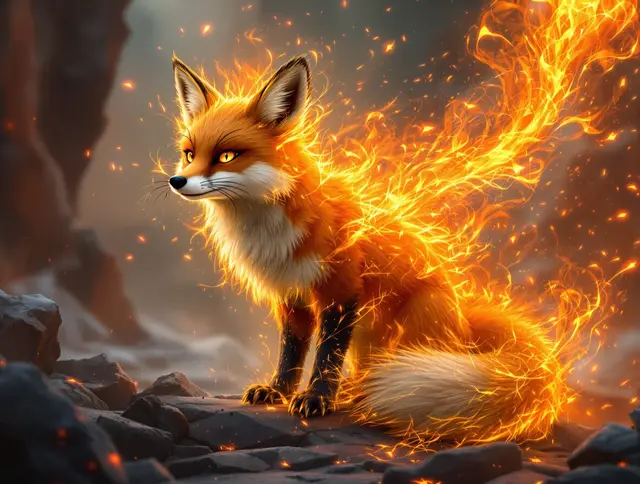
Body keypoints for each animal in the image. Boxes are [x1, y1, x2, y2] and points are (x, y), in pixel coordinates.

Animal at [166, 53, 560, 442]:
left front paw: (317, 399)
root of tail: (464, 318)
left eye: (227, 156)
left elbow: (327, 355)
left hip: (416, 321)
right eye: (189, 154)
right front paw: (278, 391)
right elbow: (290, 354)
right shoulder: (291, 295)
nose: (176, 181)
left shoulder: (341, 290)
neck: (269, 229)